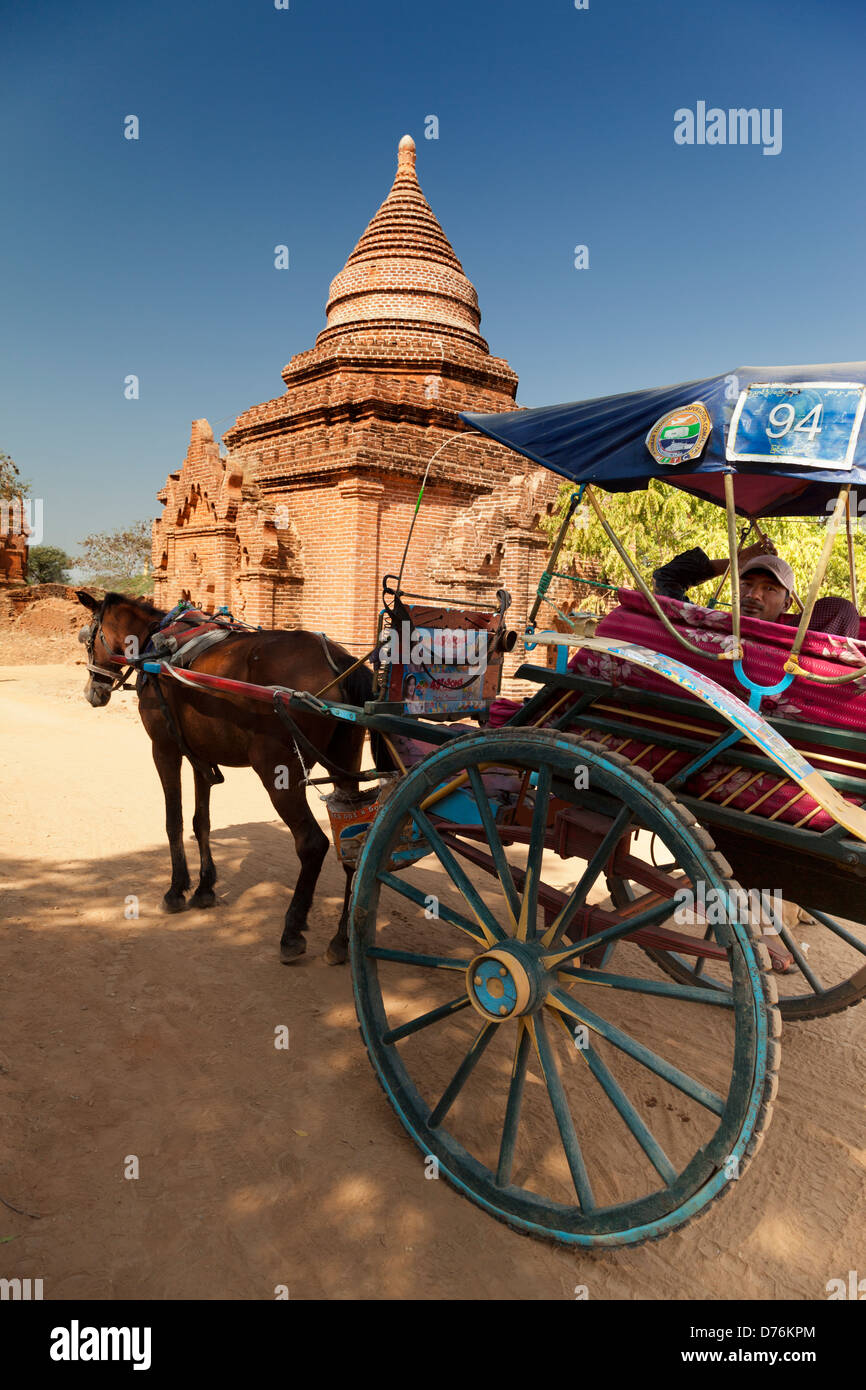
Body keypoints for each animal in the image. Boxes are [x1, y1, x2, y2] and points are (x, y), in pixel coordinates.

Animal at [77, 589, 386, 967]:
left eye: (88, 639)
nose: (93, 692)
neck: (155, 644)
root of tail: (339, 663)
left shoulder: (164, 749)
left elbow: (174, 820)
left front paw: (176, 890)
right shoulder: (200, 755)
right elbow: (202, 822)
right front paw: (205, 888)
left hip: (277, 770)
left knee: (313, 844)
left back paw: (292, 932)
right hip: (343, 764)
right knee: (352, 840)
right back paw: (342, 939)